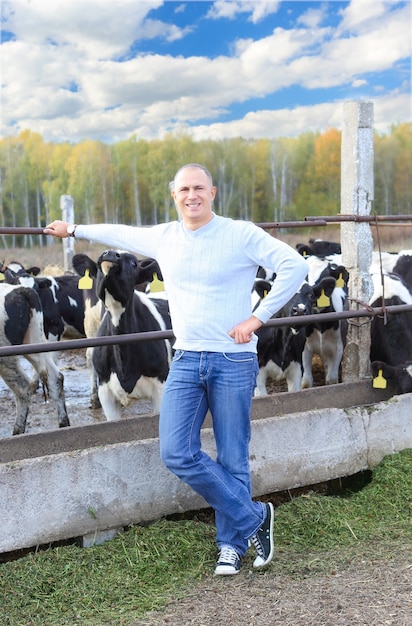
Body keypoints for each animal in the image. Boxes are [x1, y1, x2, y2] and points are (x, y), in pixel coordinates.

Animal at [0, 282, 69, 434]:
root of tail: (21, 290)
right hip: (35, 344)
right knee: (55, 378)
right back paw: (64, 424)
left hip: (6, 357)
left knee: (22, 388)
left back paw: (17, 432)